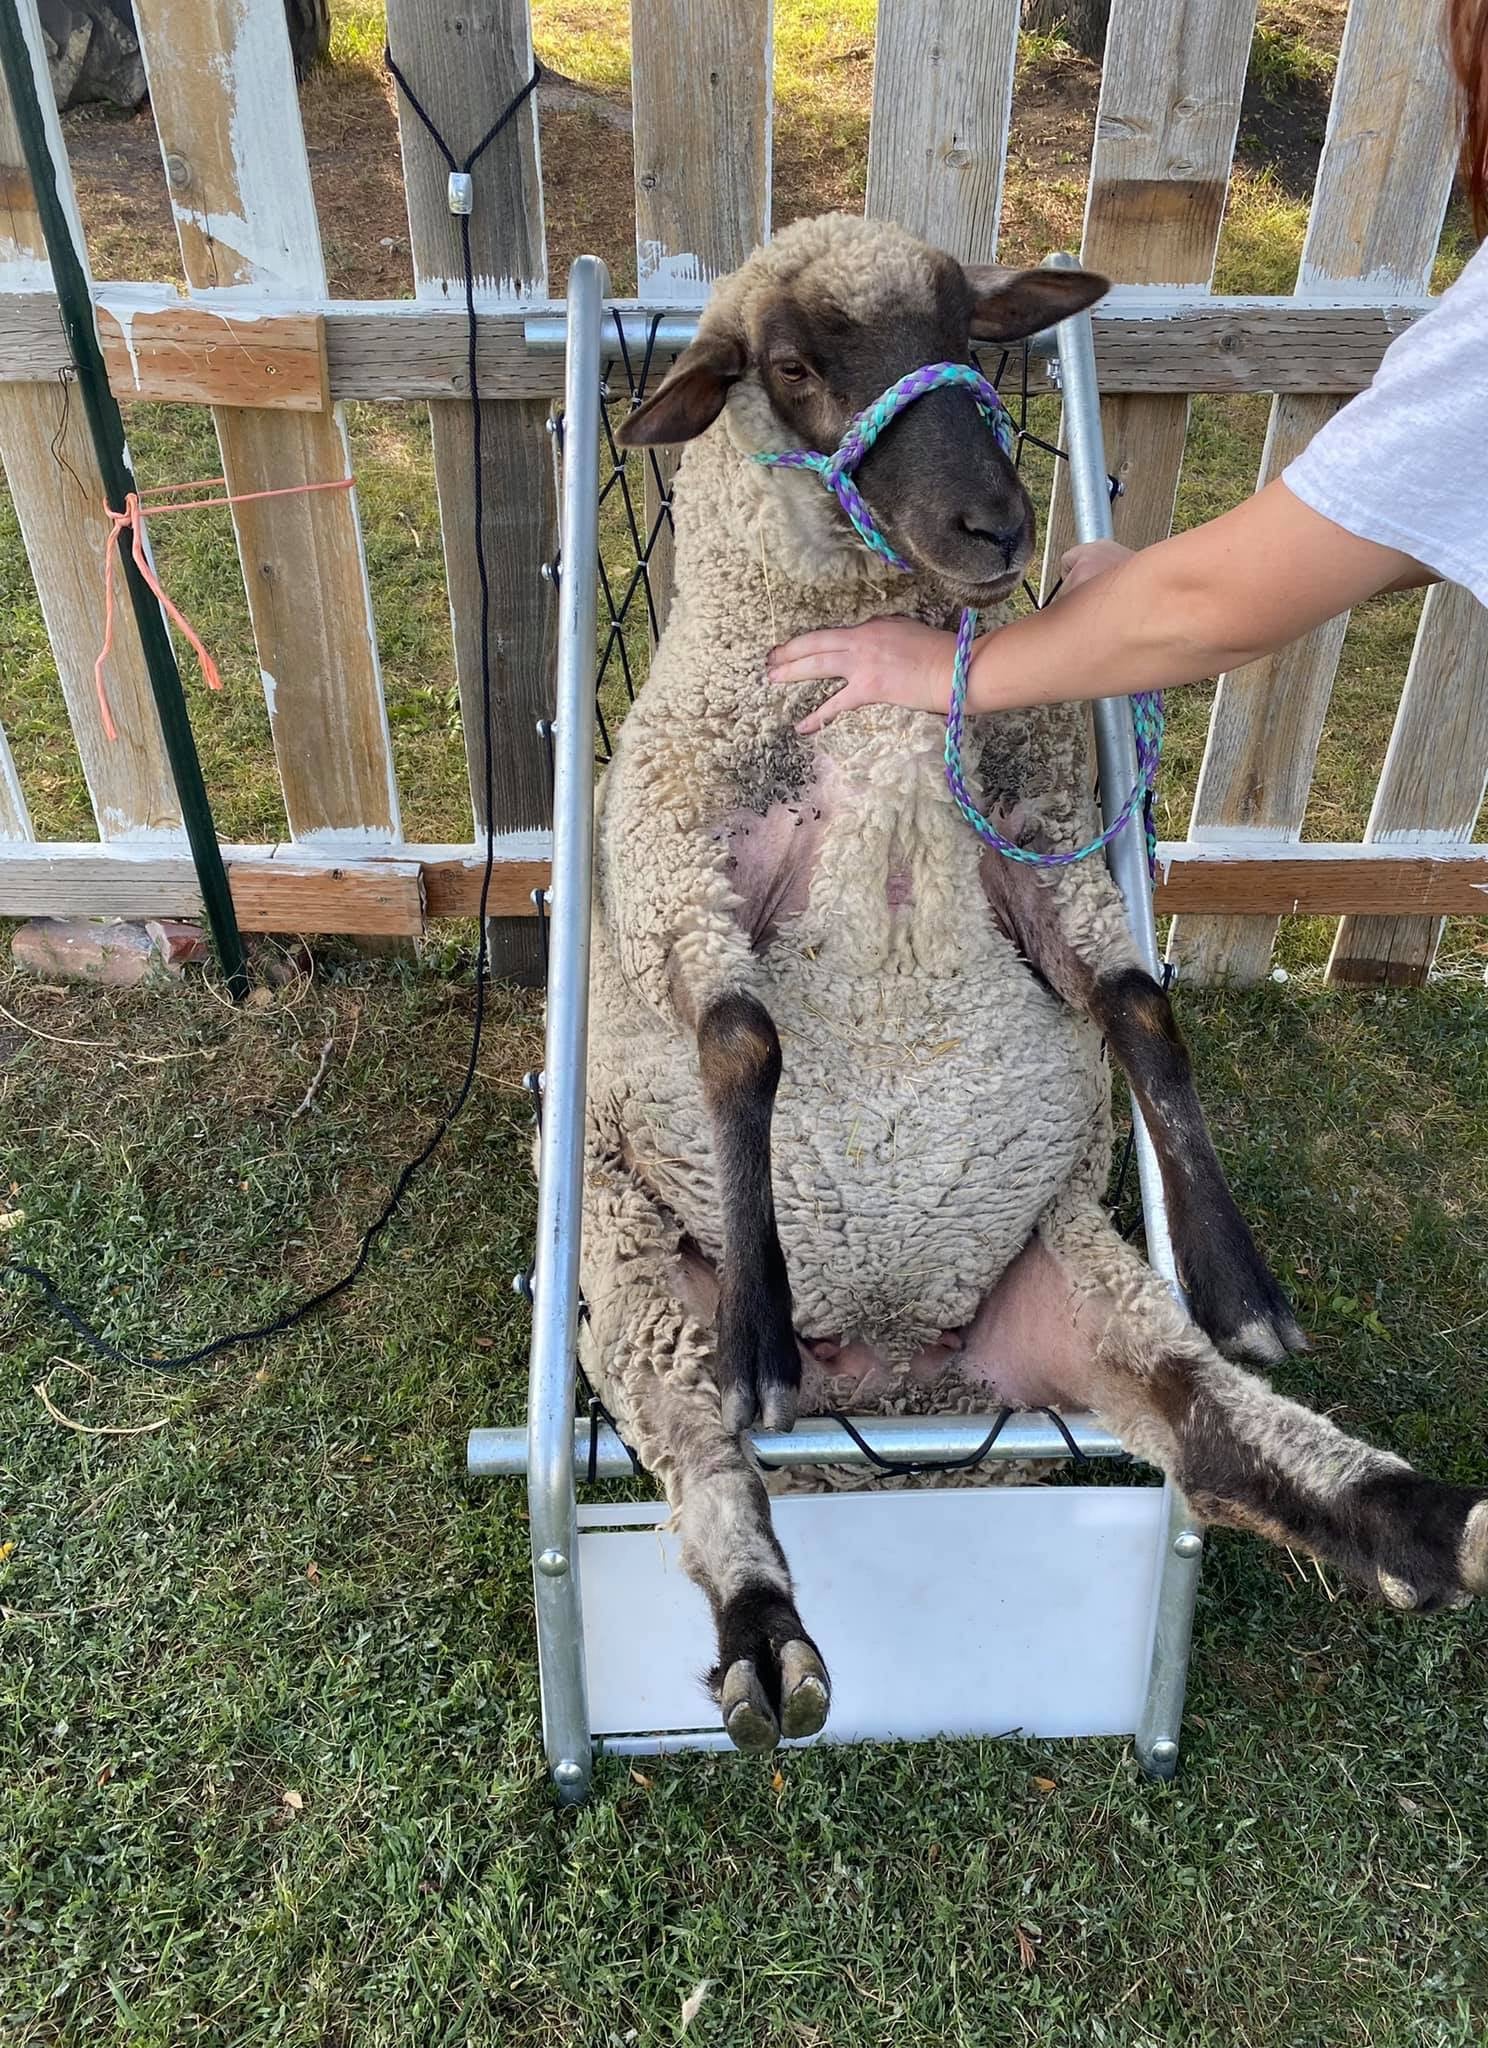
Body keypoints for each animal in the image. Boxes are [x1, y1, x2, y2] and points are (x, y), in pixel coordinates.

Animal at [577, 212, 1488, 1751]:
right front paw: (763, 1325)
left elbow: (1139, 1007)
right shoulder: (671, 864)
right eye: (790, 365)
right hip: (631, 1279)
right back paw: (765, 1627)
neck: (871, 681)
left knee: (1212, 1431)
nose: (998, 530)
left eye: (972, 332)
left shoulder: (1038, 838)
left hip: (1075, 1283)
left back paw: (1423, 1521)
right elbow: (743, 1038)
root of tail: (899, 1395)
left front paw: (1241, 1277)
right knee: (703, 1456)